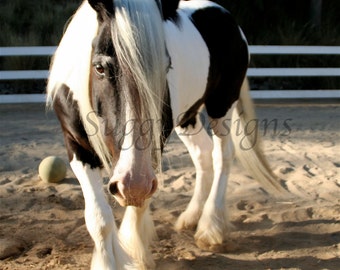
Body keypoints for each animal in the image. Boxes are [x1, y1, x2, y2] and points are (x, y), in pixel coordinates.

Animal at [46, 0, 286, 268]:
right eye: (99, 67)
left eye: (166, 67)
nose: (131, 184)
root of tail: (224, 14)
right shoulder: (77, 147)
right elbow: (99, 219)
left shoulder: (153, 147)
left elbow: (139, 204)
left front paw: (136, 252)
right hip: (188, 117)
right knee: (203, 154)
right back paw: (190, 217)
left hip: (221, 105)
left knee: (222, 156)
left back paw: (210, 227)